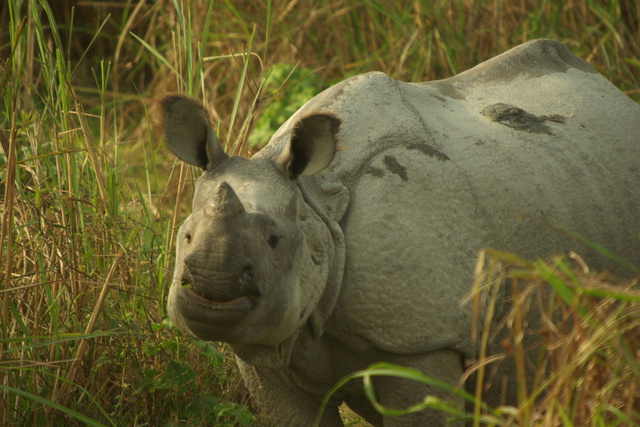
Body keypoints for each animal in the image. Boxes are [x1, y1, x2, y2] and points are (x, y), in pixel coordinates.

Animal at [160, 39, 640, 426]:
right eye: (185, 237)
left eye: (275, 241)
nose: (209, 286)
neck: (318, 206)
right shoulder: (267, 345)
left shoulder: (423, 341)